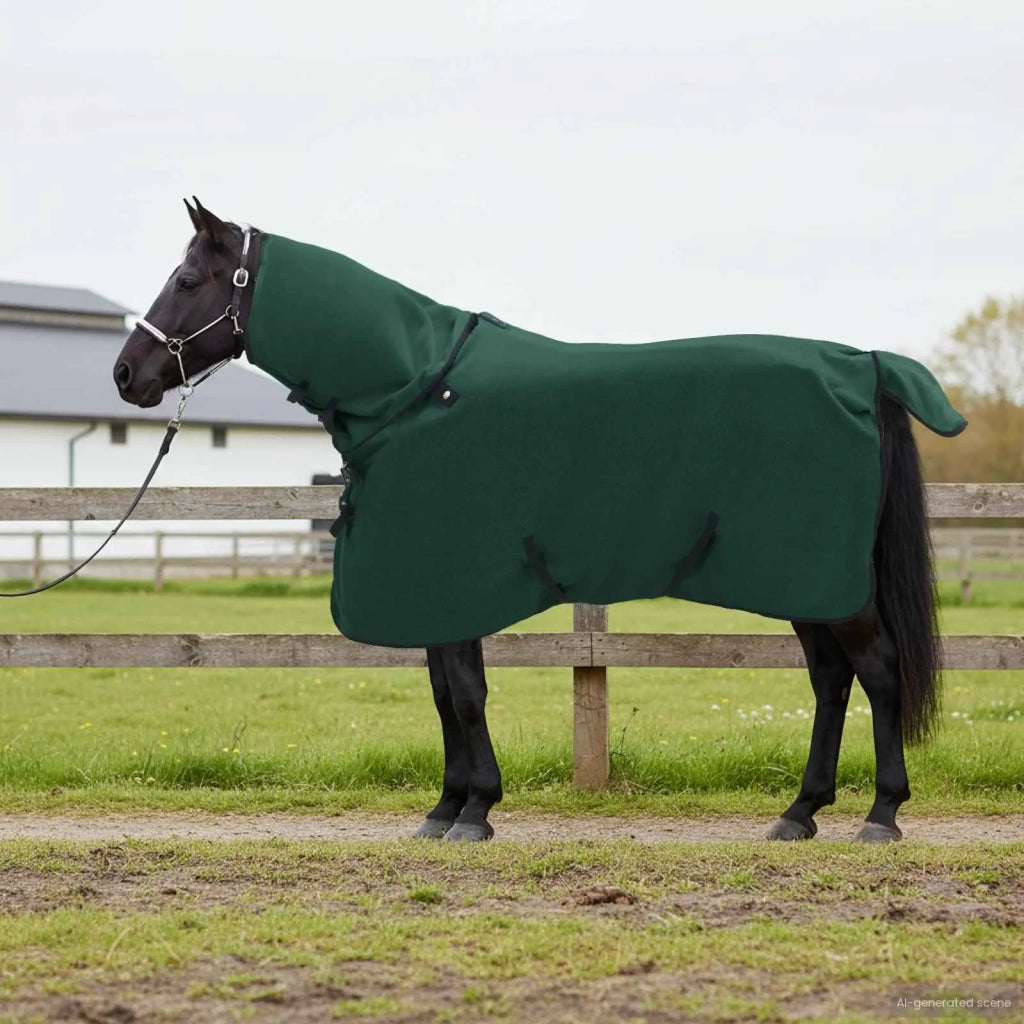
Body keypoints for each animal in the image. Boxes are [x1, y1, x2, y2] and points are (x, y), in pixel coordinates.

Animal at [113, 198, 964, 843]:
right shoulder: (432, 588)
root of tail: (862, 365)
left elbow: (464, 693)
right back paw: (800, 812)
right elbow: (445, 693)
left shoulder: (453, 579)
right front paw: (445, 808)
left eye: (187, 278)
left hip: (830, 583)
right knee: (830, 680)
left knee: (877, 671)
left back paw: (882, 814)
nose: (127, 374)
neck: (416, 387)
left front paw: (476, 811)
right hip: (807, 582)